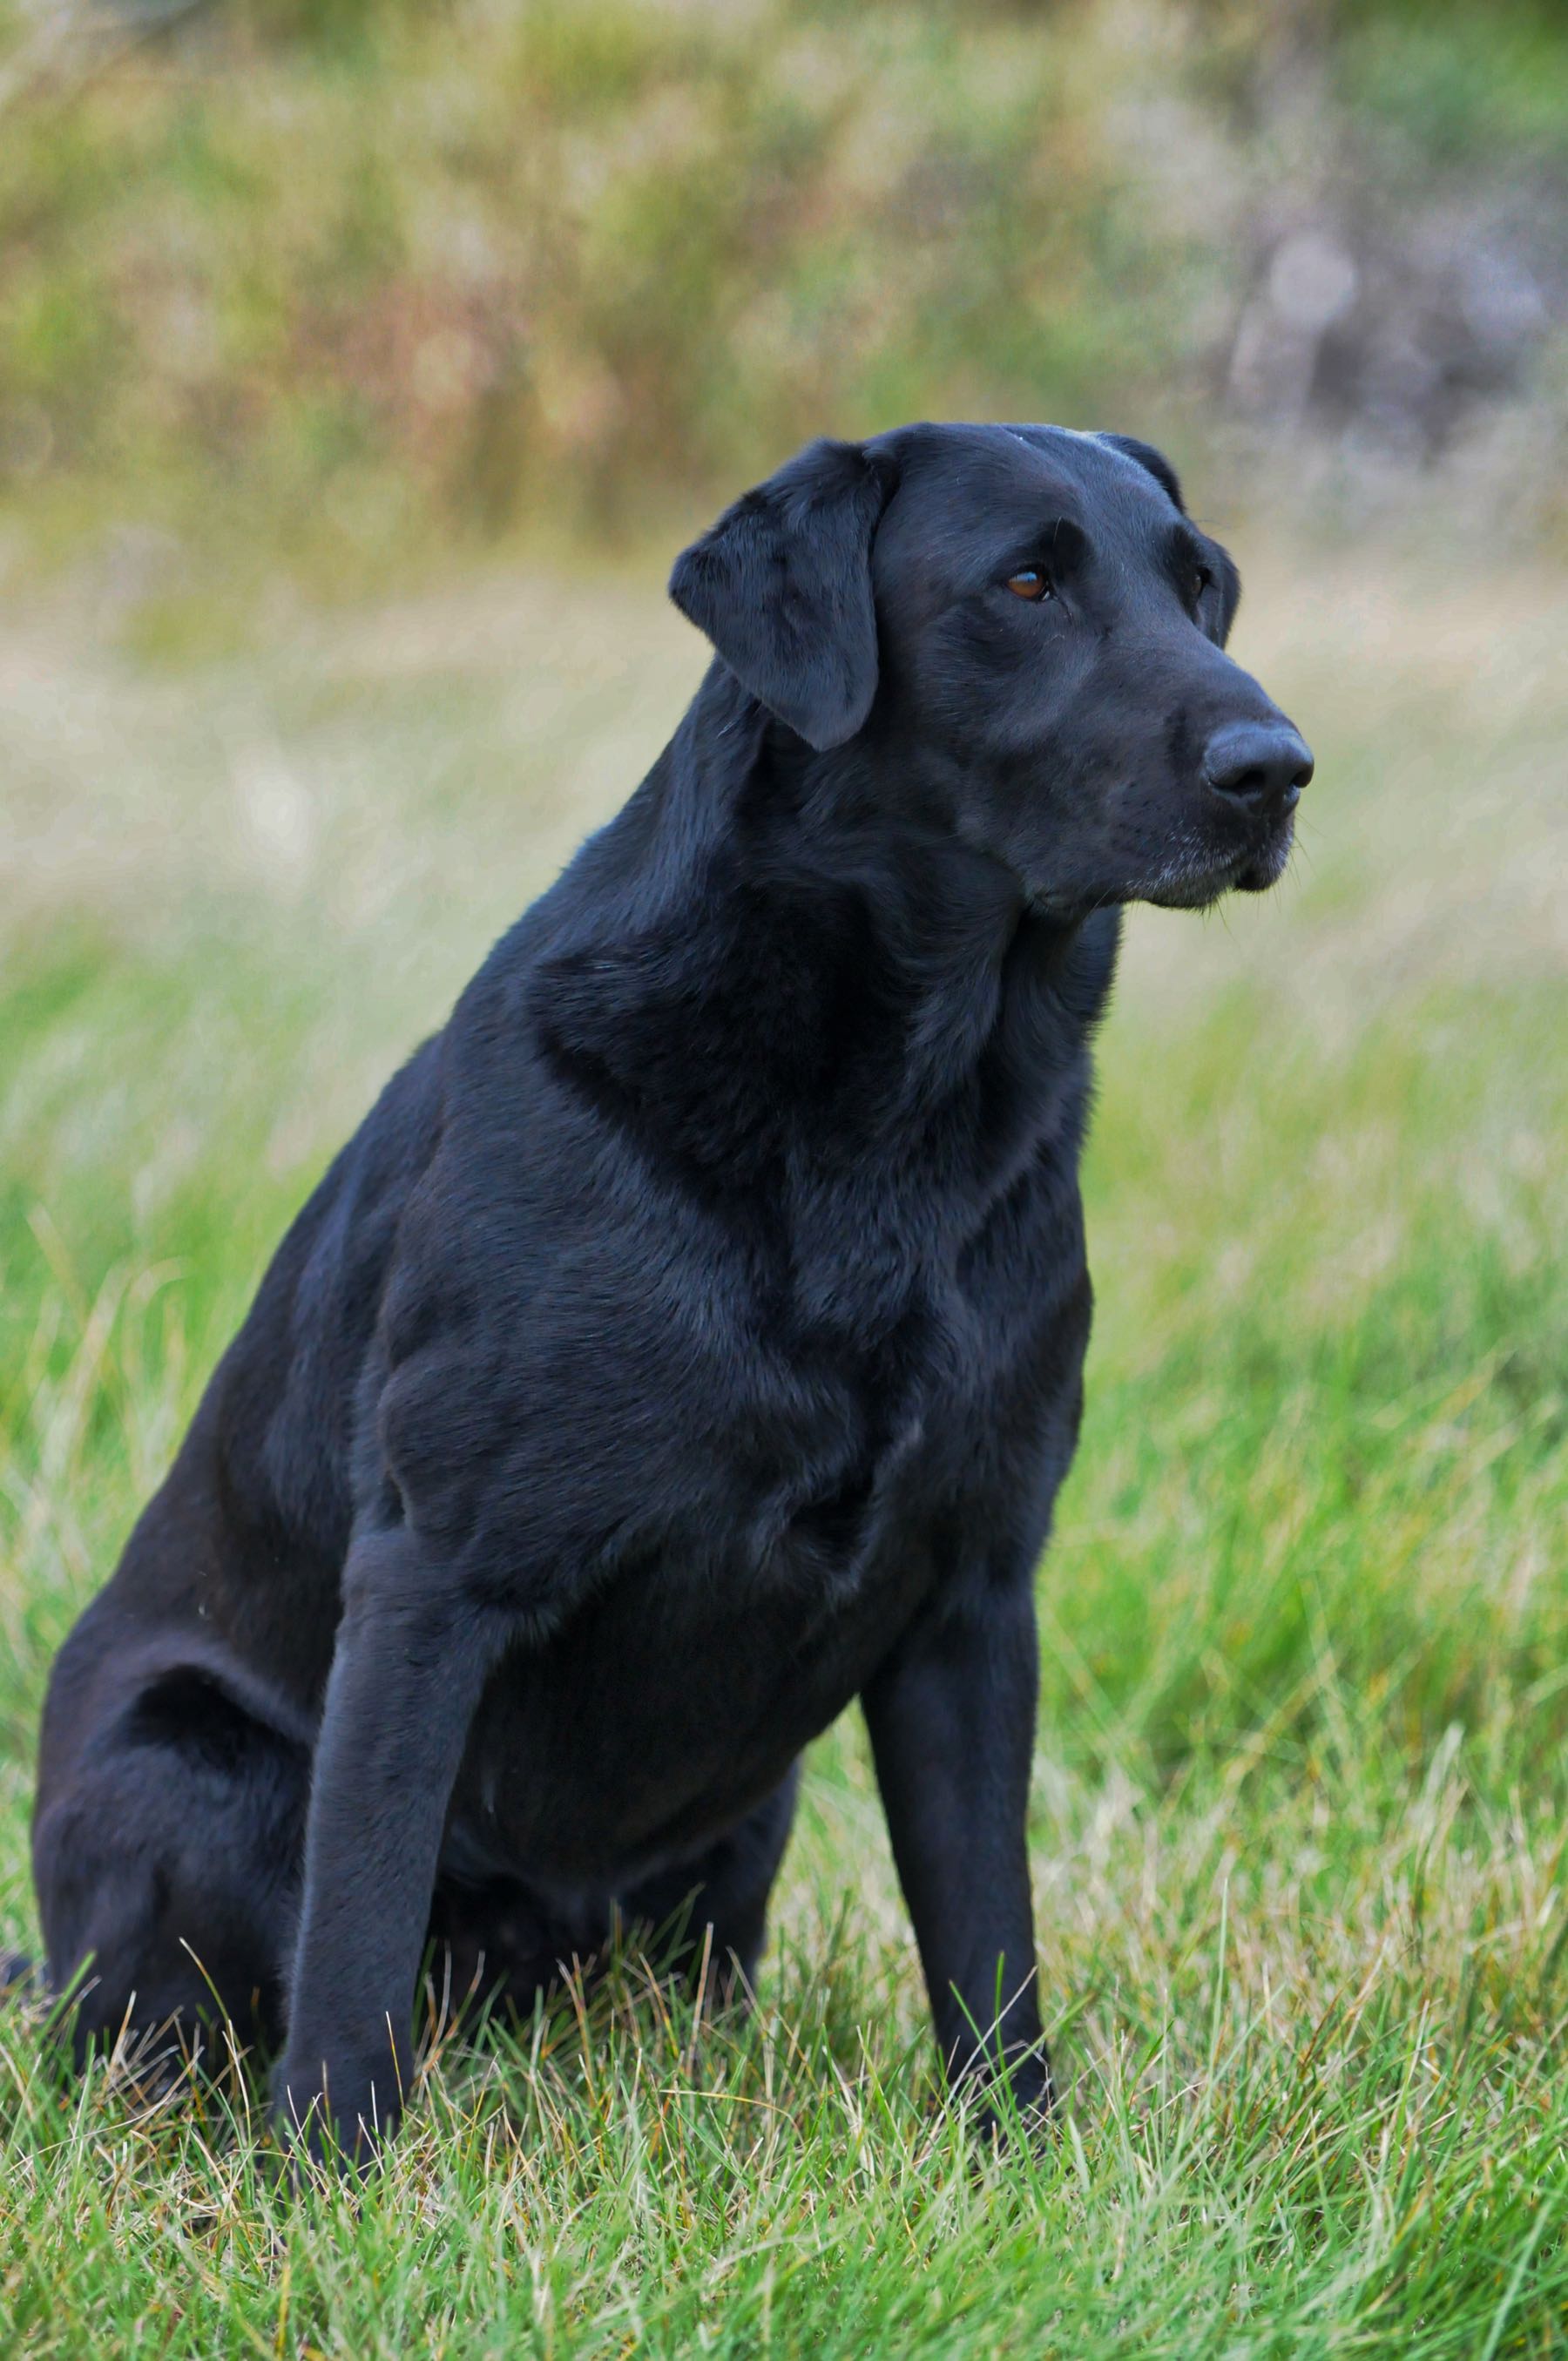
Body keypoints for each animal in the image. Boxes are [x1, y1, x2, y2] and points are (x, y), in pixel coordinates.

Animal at [33, 424, 1313, 2162]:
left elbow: (989, 1932)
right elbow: (355, 1934)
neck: (890, 1116)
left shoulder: (977, 1590)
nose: (1277, 765)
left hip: (743, 1825)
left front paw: (1020, 2160)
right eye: (1027, 583)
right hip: (198, 1777)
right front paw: (330, 2177)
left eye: (1199, 582)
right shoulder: (433, 1572)